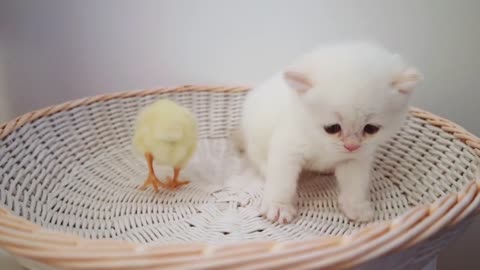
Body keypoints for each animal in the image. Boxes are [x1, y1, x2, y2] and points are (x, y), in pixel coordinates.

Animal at [238, 41, 422, 224]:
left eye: (371, 128)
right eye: (332, 128)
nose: (351, 146)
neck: (323, 145)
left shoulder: (356, 158)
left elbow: (355, 182)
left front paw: (356, 206)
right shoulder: (288, 146)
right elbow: (282, 180)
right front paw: (278, 205)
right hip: (255, 140)